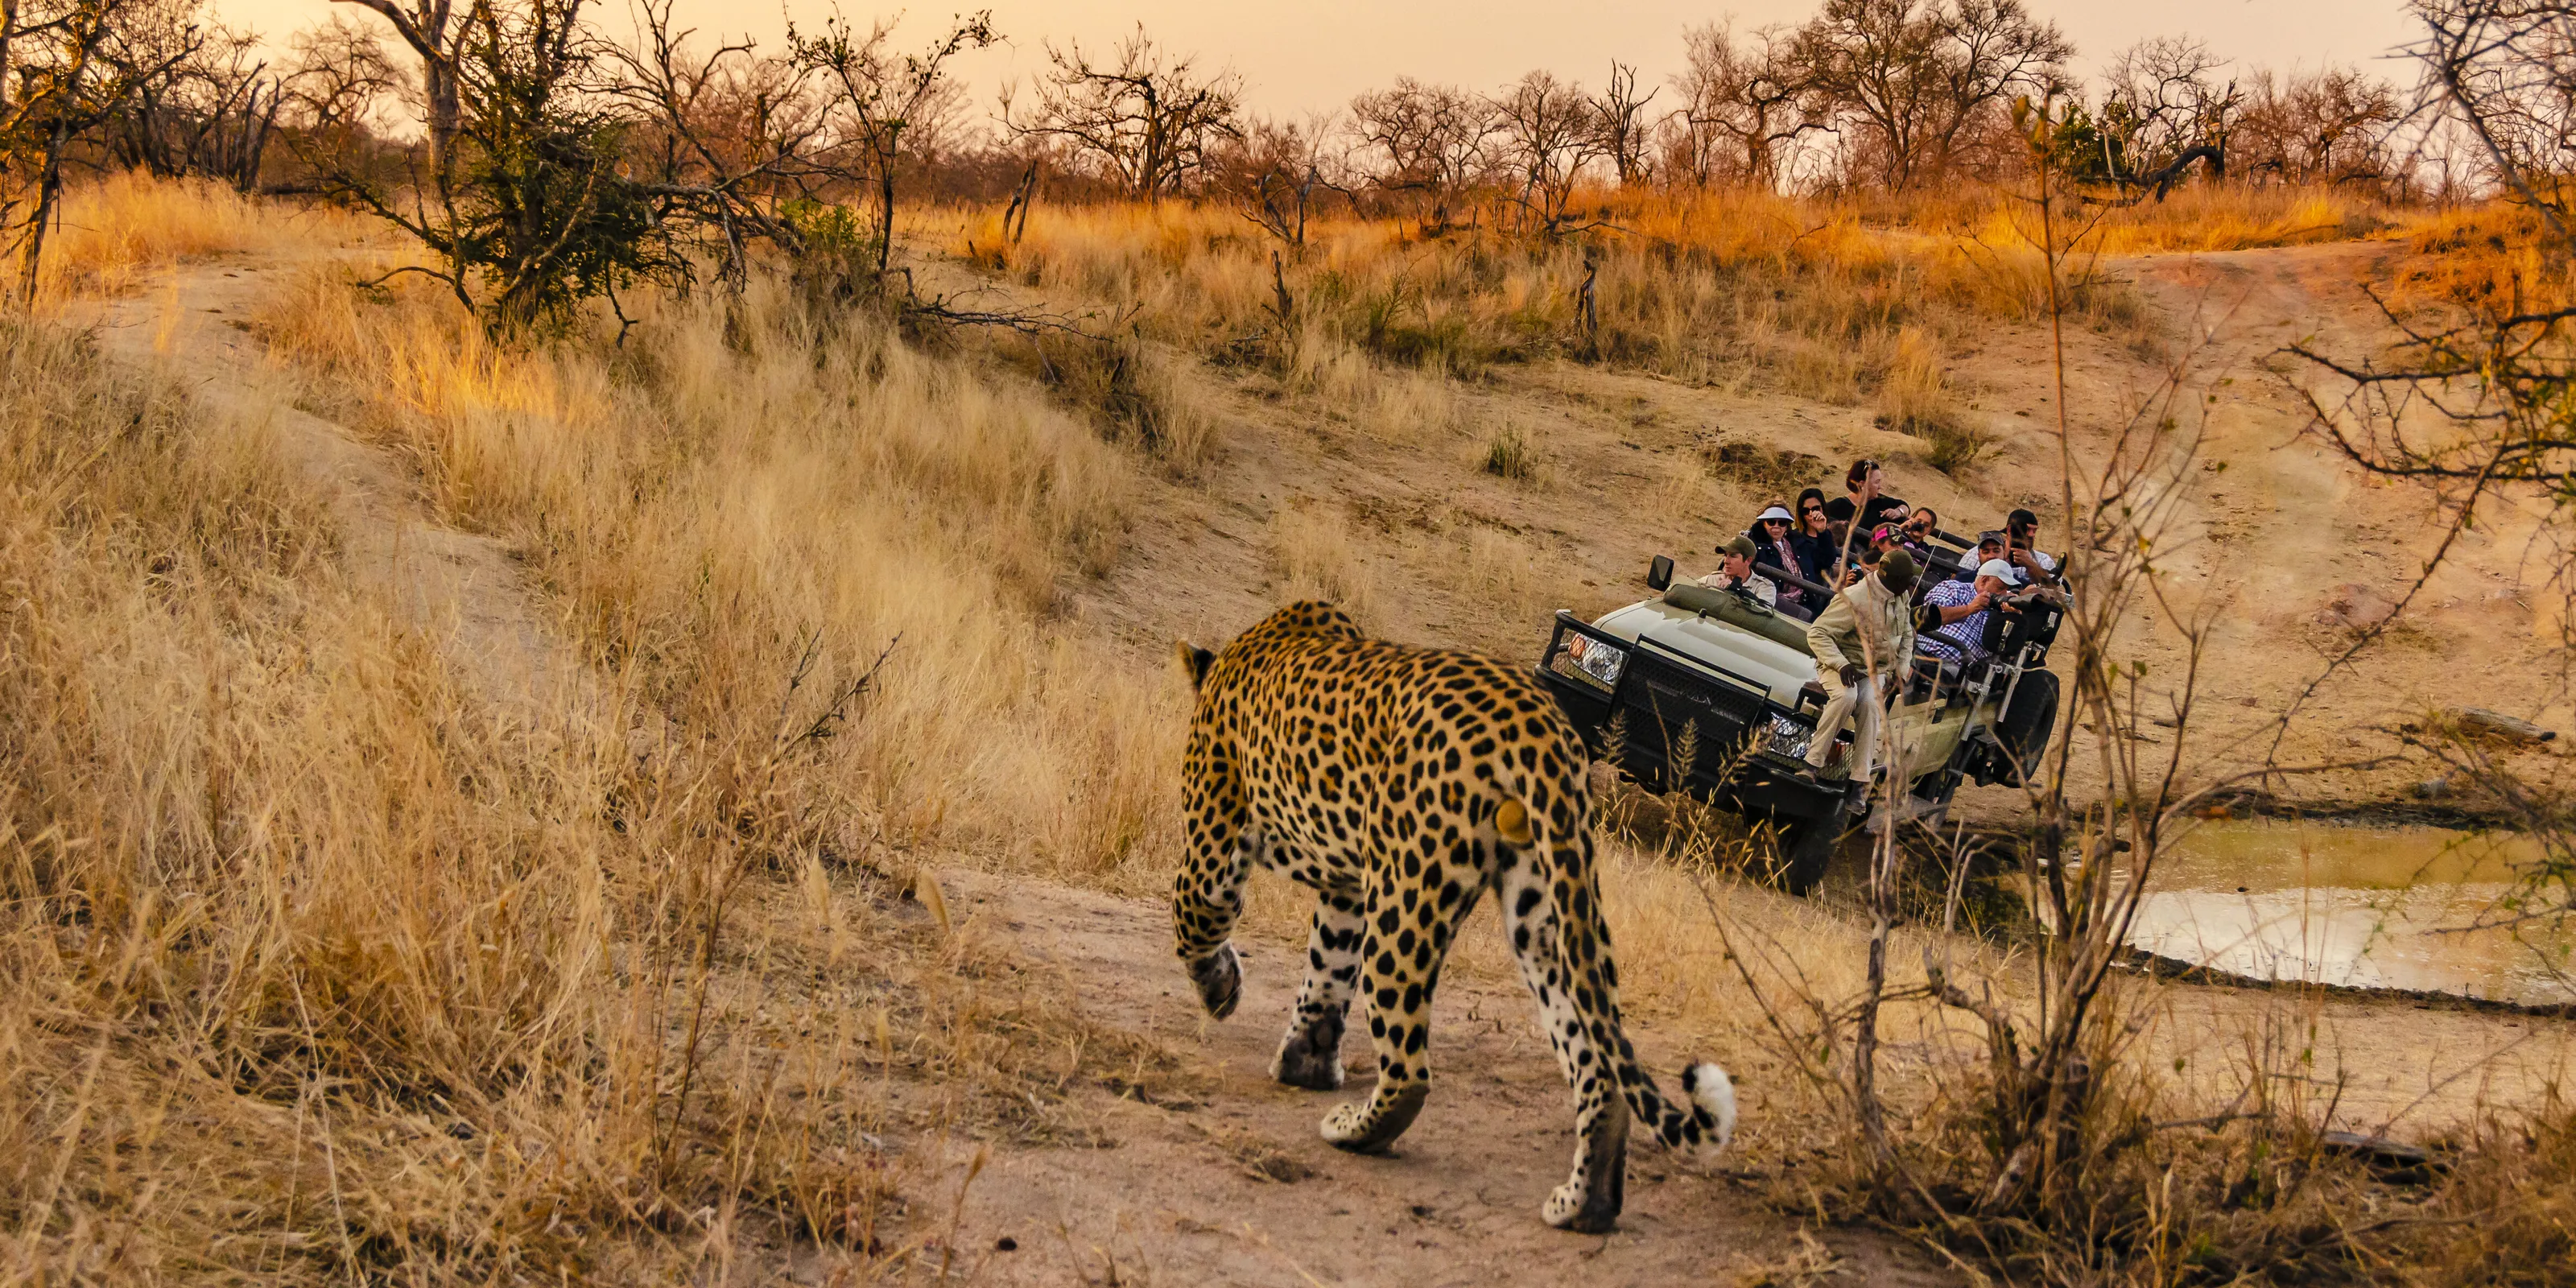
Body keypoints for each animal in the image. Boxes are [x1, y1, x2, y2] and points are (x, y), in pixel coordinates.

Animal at [1172, 601, 1735, 1233]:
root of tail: (1537, 722)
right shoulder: (1347, 889)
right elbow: (1327, 971)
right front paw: (1306, 1063)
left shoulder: (1214, 843)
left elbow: (1197, 919)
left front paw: (1221, 993)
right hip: (1545, 907)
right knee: (1600, 1066)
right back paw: (1583, 1204)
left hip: (1407, 890)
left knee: (1409, 1067)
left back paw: (1351, 1129)